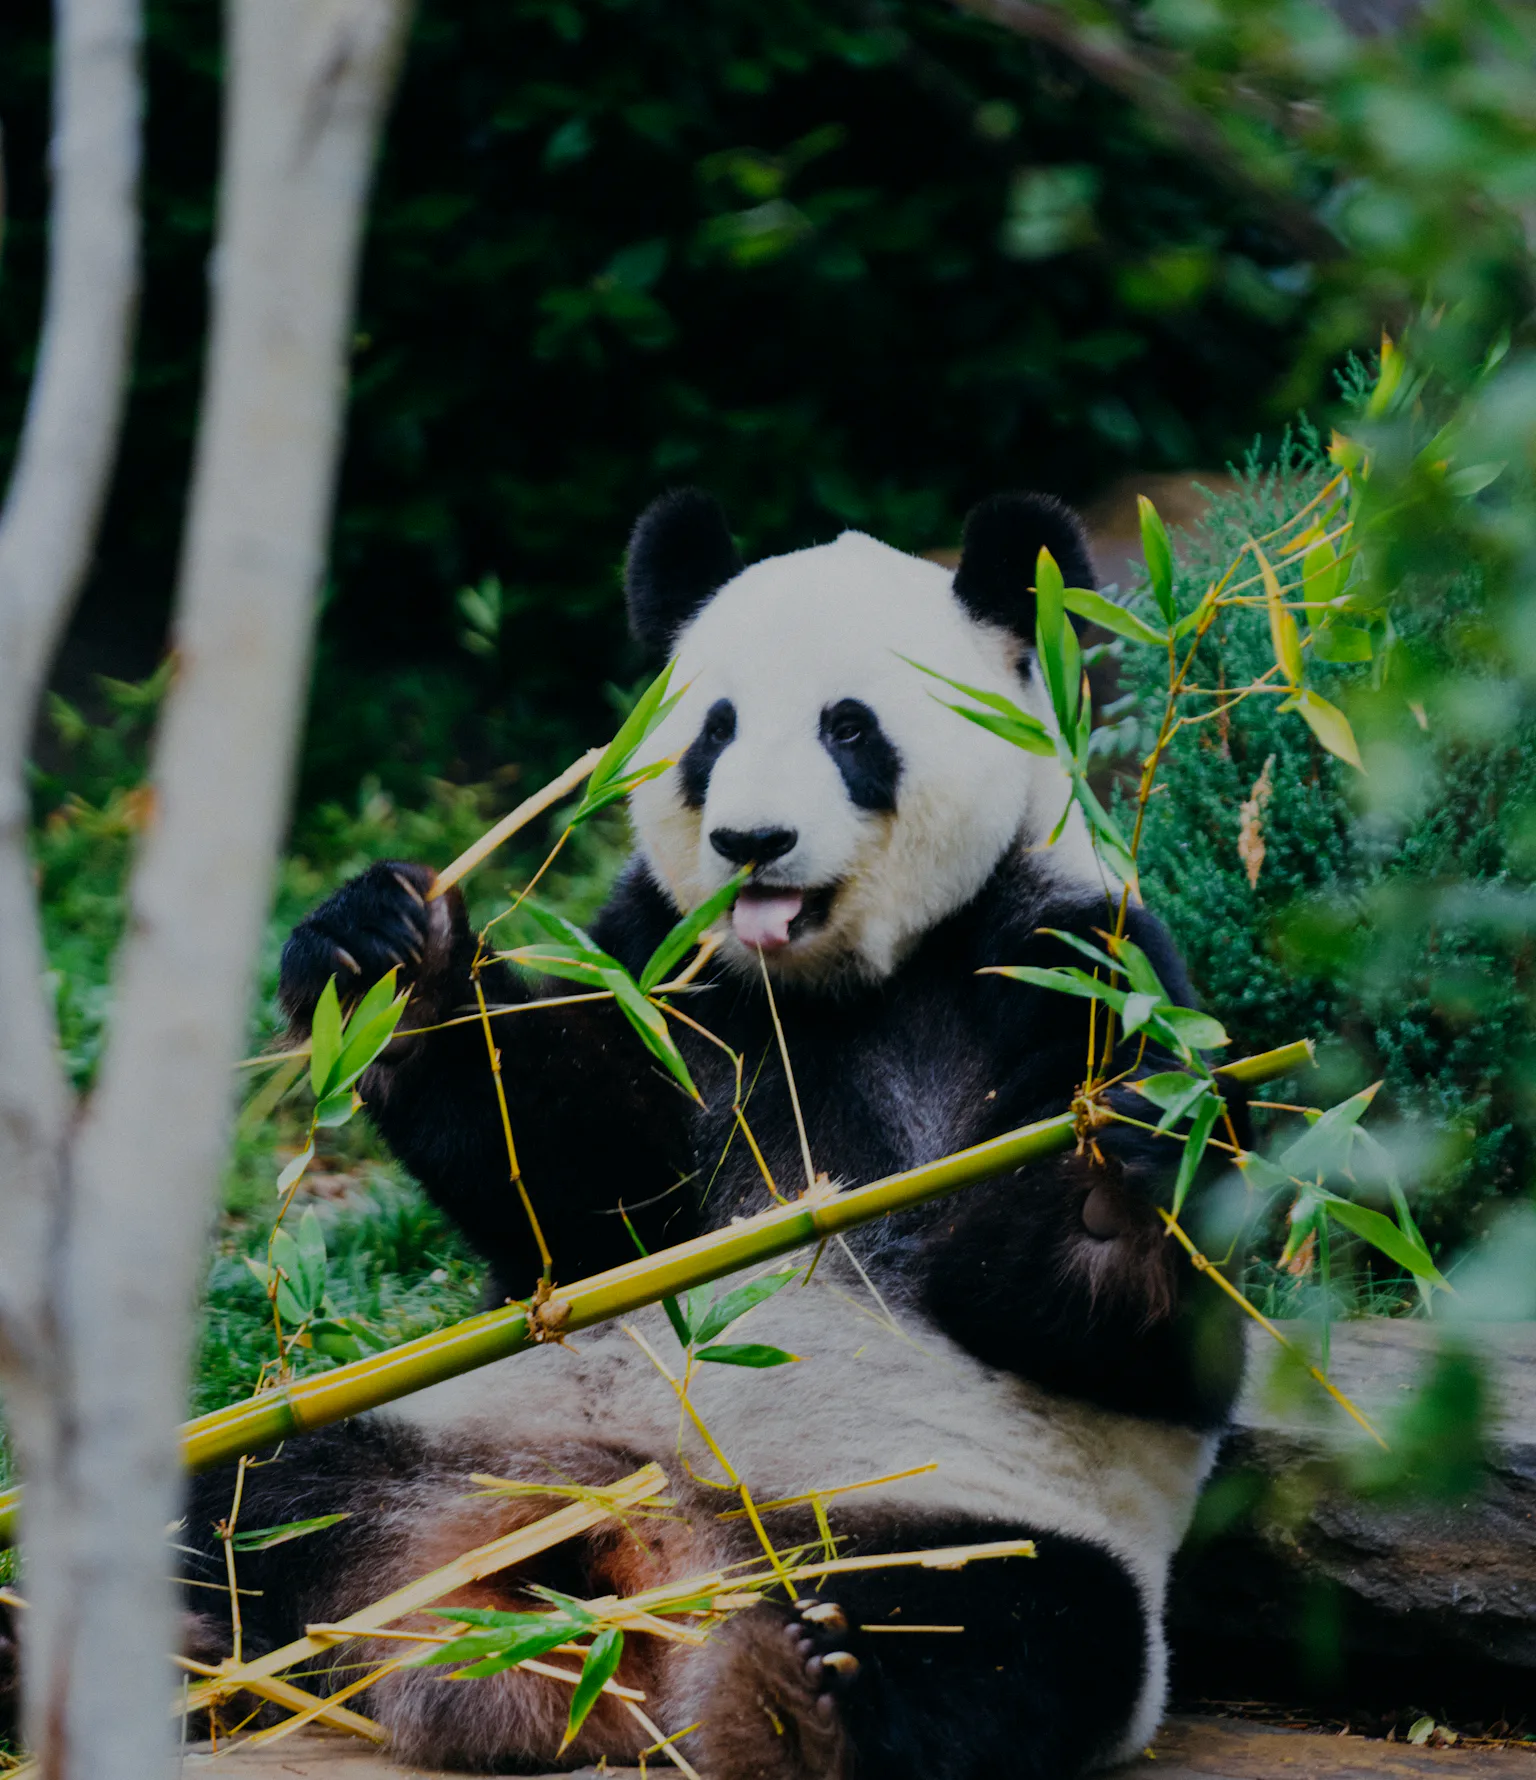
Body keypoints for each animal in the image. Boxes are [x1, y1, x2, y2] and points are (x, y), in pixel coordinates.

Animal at [176, 490, 1245, 1778]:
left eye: (850, 727)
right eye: (714, 729)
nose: (751, 842)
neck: (824, 984)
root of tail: (635, 1573)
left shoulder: (1076, 954)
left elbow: (1113, 1330)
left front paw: (1110, 1180)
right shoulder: (665, 967)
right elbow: (584, 1199)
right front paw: (387, 954)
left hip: (948, 1518)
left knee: (1013, 1630)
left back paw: (807, 1693)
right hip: (439, 1435)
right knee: (253, 1500)